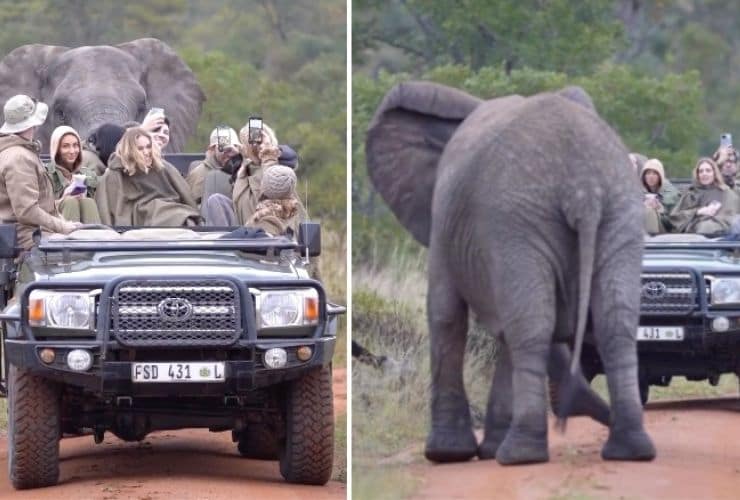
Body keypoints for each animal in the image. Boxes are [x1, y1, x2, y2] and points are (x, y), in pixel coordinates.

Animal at [368, 81, 656, 464]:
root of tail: (584, 189)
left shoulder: (444, 220)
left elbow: (445, 314)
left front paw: (446, 454)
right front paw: (481, 451)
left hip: (521, 219)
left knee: (531, 327)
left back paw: (520, 454)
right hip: (617, 210)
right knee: (612, 324)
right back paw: (630, 450)